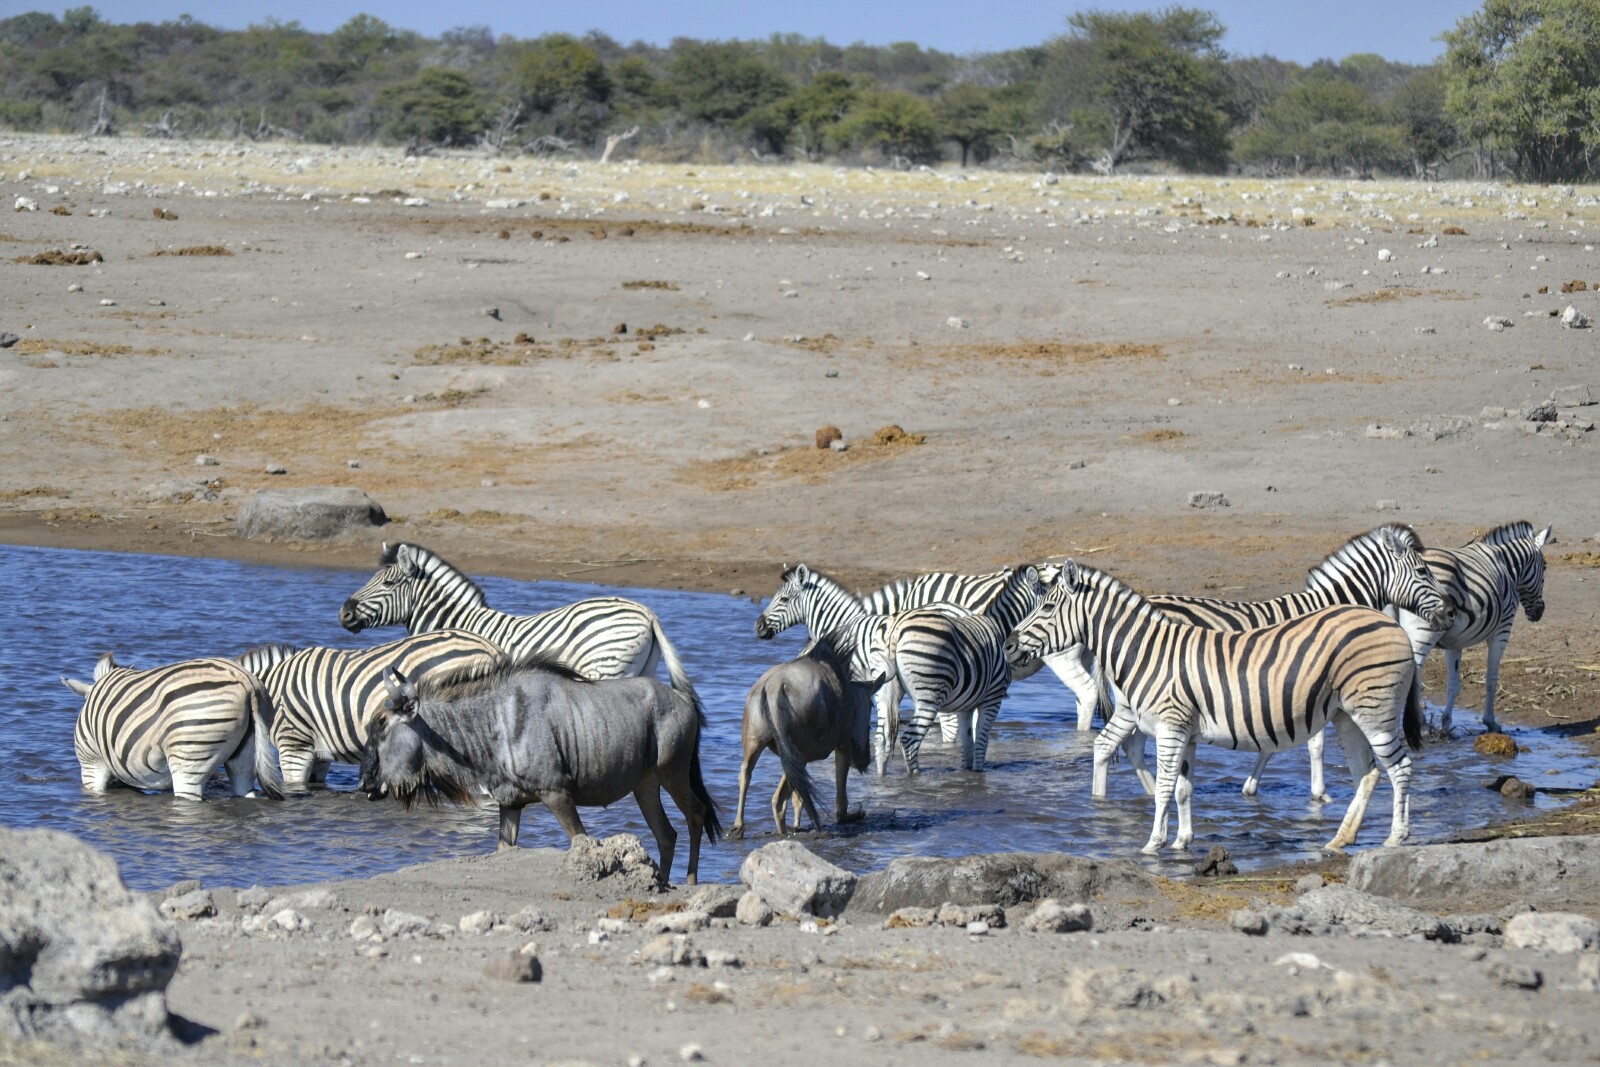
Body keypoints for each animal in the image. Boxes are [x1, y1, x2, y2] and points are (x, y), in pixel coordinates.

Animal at [338, 542, 703, 710]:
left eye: (387, 584)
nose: (343, 613)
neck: (459, 623)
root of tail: (646, 612)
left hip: (607, 668)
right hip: (641, 669)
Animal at [867, 564, 1044, 773]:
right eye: (1046, 604)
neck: (1000, 627)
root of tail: (895, 627)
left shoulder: (966, 705)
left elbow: (968, 744)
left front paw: (969, 775)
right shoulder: (993, 697)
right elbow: (981, 742)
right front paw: (979, 772)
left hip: (884, 690)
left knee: (880, 740)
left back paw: (882, 778)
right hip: (929, 694)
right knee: (909, 740)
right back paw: (916, 777)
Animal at [1005, 560, 1422, 855]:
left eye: (1047, 607)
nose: (1007, 645)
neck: (1147, 652)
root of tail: (1391, 623)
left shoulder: (1172, 727)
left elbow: (1164, 789)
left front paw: (1152, 845)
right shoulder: (1185, 732)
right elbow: (1183, 789)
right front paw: (1181, 842)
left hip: (1375, 711)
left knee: (1400, 768)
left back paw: (1396, 839)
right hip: (1346, 715)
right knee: (1368, 773)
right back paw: (1340, 840)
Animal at [1136, 523, 1454, 801]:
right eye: (1422, 571)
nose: (1451, 613)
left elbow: (1270, 739)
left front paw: (1251, 786)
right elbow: (1315, 744)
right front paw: (1320, 794)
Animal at [1395, 521, 1551, 733]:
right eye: (1545, 567)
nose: (1539, 612)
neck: (1506, 565)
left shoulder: (1453, 642)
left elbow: (1453, 684)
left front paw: (1446, 723)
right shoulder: (1502, 629)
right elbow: (1491, 679)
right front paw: (1490, 722)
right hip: (1423, 633)